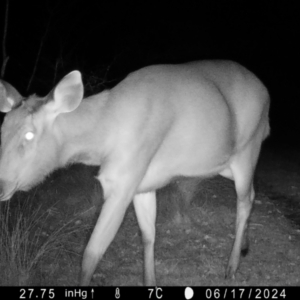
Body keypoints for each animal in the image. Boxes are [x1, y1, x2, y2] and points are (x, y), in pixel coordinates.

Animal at [0, 59, 270, 284]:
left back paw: (232, 266)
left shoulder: (123, 181)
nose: (2, 185)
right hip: (225, 164)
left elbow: (91, 255)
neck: (103, 137)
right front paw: (151, 281)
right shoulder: (142, 184)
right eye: (2, 129)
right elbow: (148, 235)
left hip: (248, 150)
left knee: (244, 202)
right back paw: (244, 246)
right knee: (252, 194)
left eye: (29, 134)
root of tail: (265, 93)